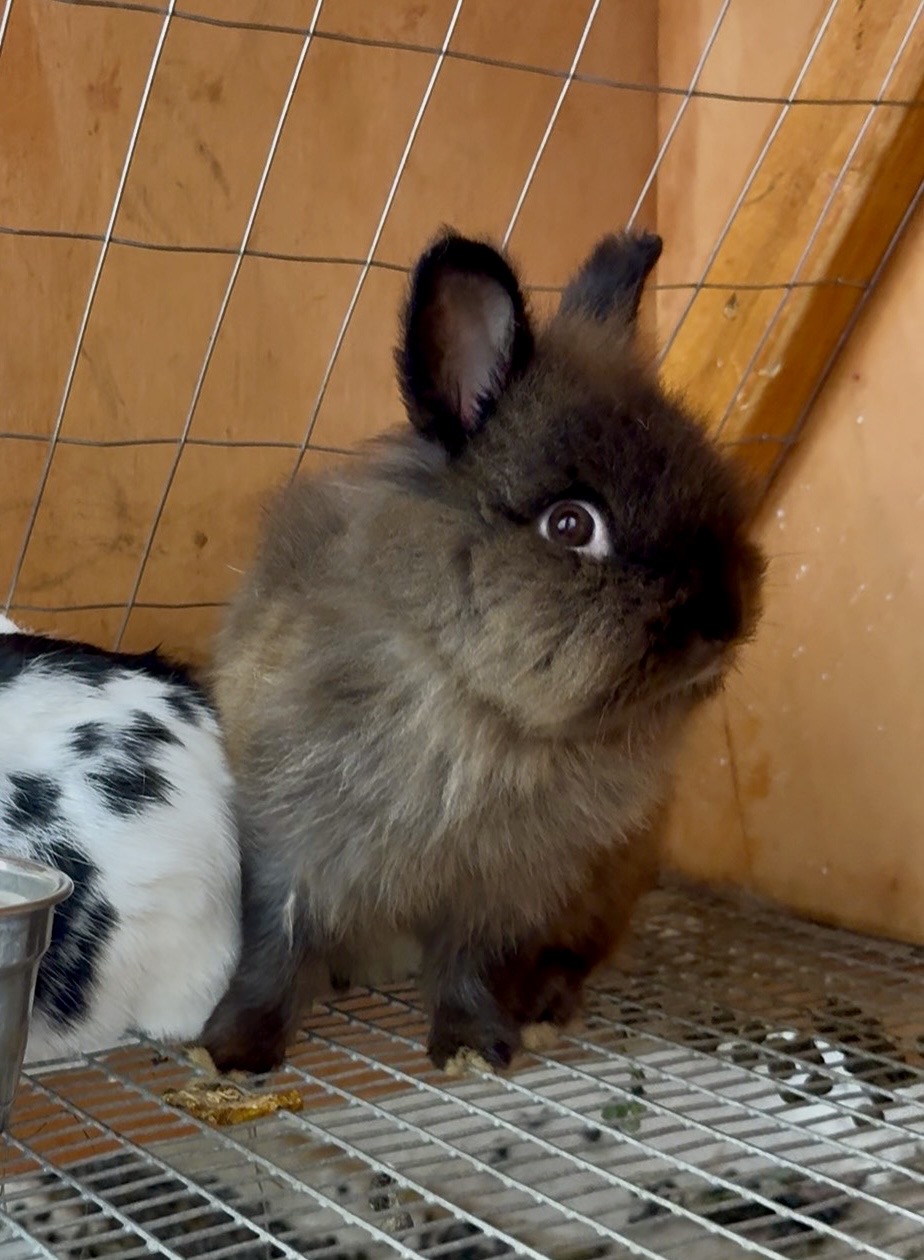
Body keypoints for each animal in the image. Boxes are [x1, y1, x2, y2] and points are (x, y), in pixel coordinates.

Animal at [201, 227, 765, 1076]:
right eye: (571, 525)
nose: (722, 621)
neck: (478, 702)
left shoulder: (504, 889)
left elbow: (472, 966)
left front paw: (473, 1049)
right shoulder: (288, 849)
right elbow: (273, 951)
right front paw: (231, 1053)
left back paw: (544, 1011)